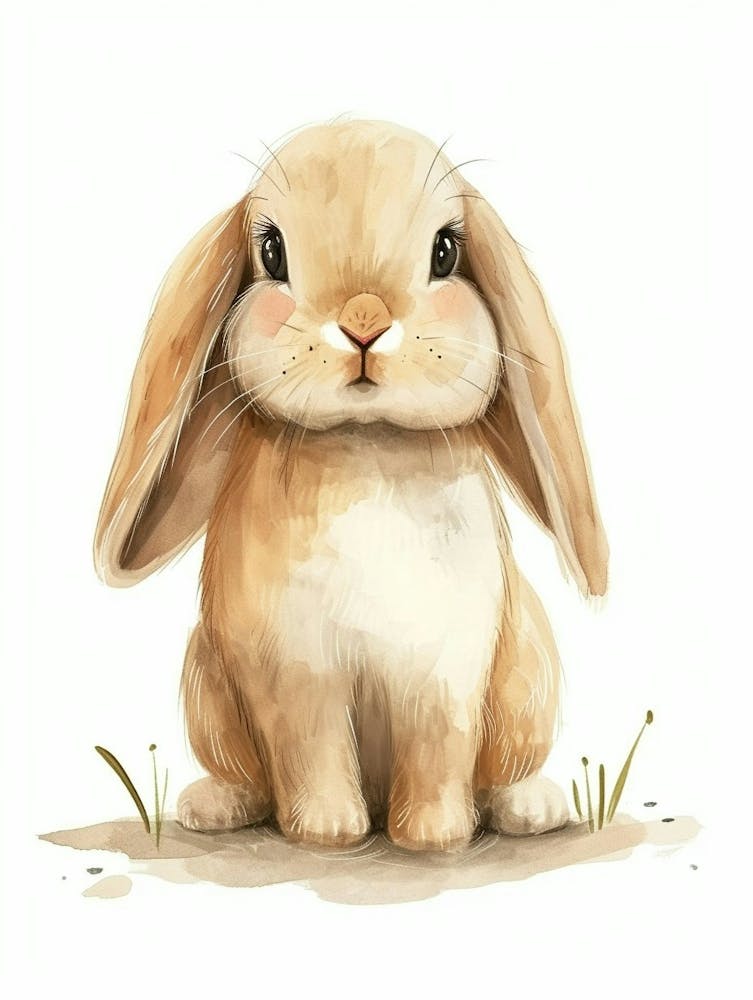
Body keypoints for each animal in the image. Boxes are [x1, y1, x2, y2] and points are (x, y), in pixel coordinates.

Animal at [94, 119, 608, 851]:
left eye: (446, 251)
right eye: (271, 251)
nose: (365, 322)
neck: (366, 443)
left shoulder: (444, 675)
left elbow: (438, 752)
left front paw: (433, 837)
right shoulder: (293, 675)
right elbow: (311, 751)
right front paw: (328, 832)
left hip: (527, 674)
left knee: (506, 768)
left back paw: (532, 809)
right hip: (207, 684)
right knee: (245, 772)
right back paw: (214, 807)